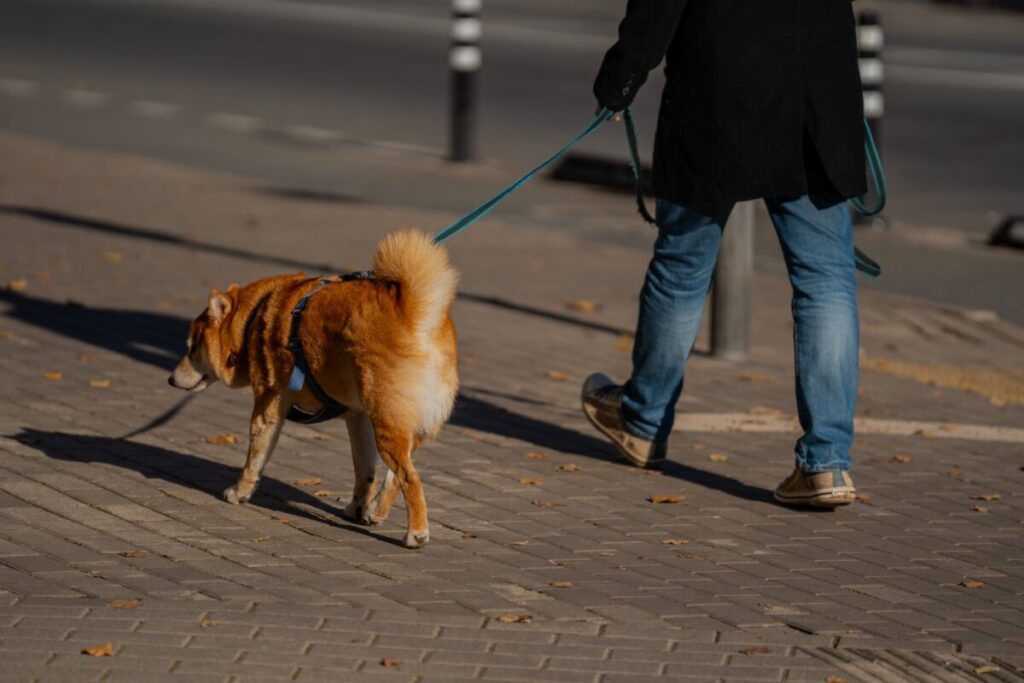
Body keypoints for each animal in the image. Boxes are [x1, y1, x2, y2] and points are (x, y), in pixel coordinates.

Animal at [169, 232, 458, 548]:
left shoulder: (268, 405)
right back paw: (375, 511)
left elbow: (253, 460)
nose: (170, 379)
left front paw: (239, 492)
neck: (252, 321)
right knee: (395, 475)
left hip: (387, 422)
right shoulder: (357, 418)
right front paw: (358, 506)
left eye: (191, 347)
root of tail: (417, 315)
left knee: (410, 478)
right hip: (400, 423)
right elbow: (364, 471)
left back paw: (416, 532)